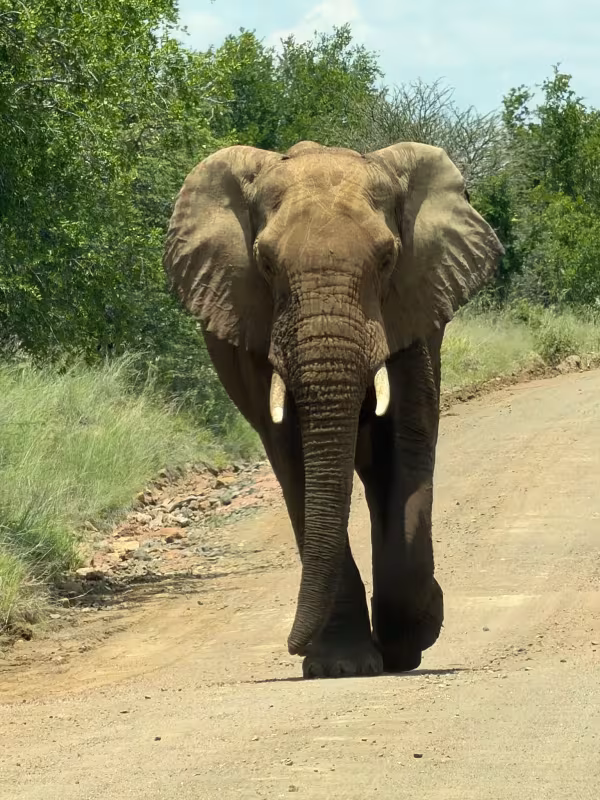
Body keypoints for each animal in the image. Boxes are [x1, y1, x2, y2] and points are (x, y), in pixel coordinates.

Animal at [164, 140, 504, 679]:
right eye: (265, 264)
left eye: (388, 258)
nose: (289, 646)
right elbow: (296, 459)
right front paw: (339, 667)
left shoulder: (410, 310)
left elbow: (404, 447)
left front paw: (412, 640)